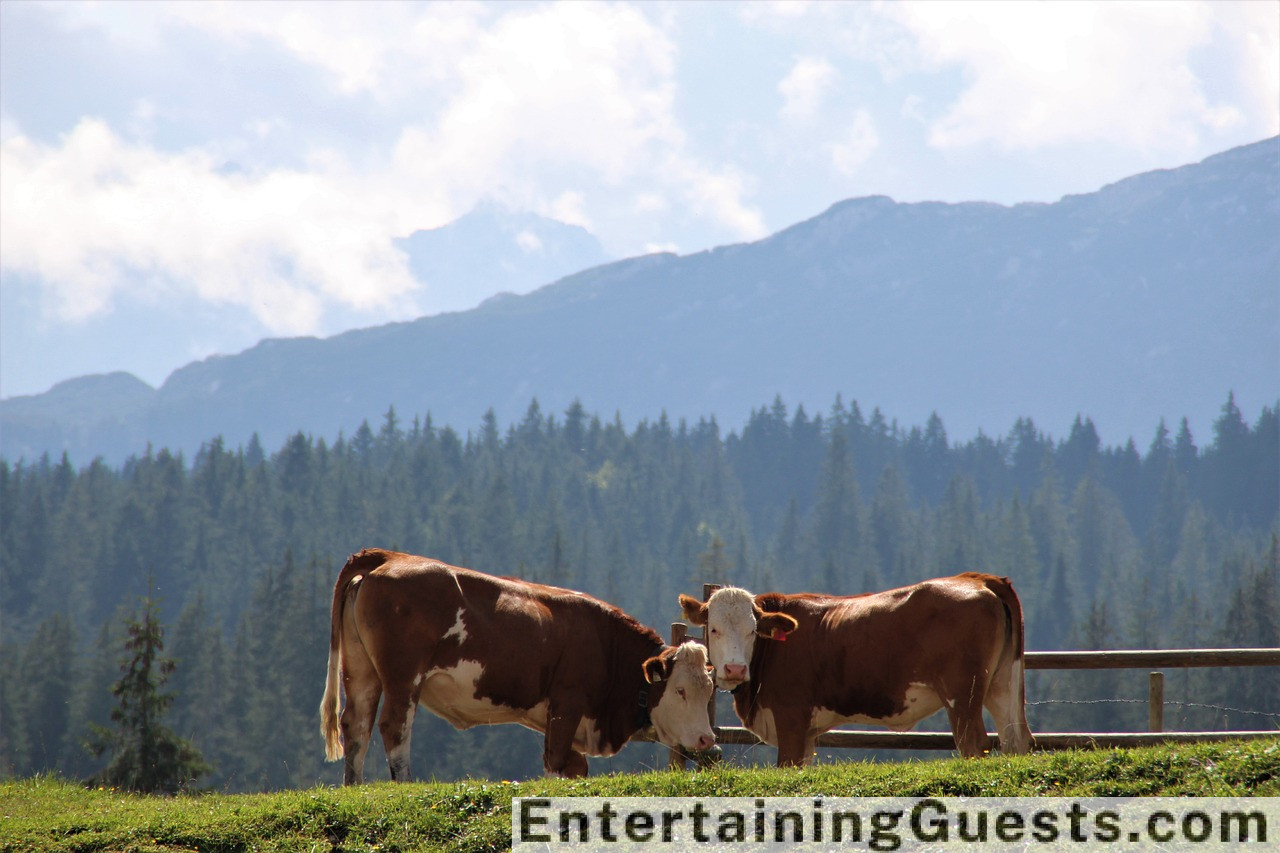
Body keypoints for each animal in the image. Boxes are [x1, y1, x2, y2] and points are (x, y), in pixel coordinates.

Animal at [318, 548, 716, 778]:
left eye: (709, 690)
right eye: (680, 690)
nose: (706, 738)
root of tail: (389, 556)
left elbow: (574, 766)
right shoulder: (567, 703)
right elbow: (556, 761)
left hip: (362, 672)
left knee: (356, 726)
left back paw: (354, 788)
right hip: (403, 677)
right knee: (393, 727)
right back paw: (404, 782)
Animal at [680, 571, 1029, 763]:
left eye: (752, 630)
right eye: (713, 629)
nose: (735, 669)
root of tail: (975, 578)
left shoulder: (791, 718)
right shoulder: (806, 733)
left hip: (962, 694)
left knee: (976, 743)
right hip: (1002, 684)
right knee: (1016, 740)